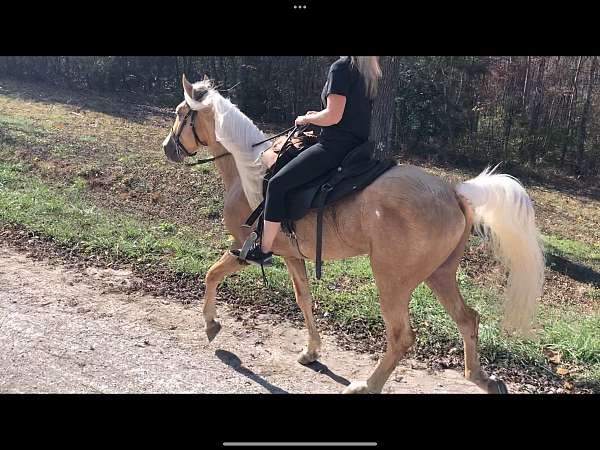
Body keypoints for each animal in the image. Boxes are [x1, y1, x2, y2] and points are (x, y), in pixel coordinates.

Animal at [162, 74, 548, 394]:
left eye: (181, 113)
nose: (168, 148)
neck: (251, 170)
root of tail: (455, 193)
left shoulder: (244, 246)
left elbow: (212, 274)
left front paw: (211, 323)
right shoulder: (291, 255)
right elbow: (304, 299)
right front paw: (311, 351)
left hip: (392, 279)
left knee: (401, 336)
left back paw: (367, 385)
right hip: (439, 274)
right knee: (468, 319)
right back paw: (481, 378)